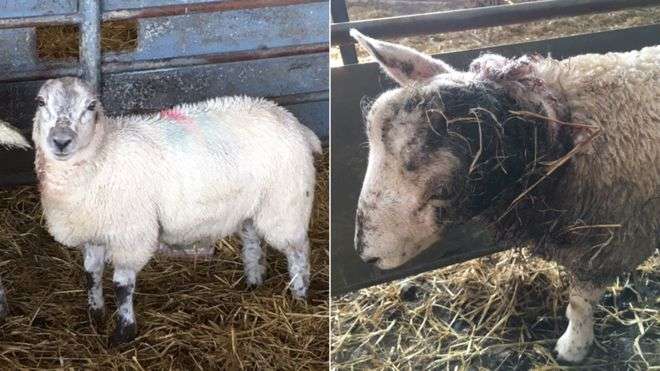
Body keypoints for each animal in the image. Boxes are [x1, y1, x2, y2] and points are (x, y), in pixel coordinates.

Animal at [32, 76, 320, 346]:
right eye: (41, 102)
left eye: (91, 105)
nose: (61, 141)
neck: (104, 155)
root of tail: (291, 120)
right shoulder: (94, 231)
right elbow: (91, 274)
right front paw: (95, 314)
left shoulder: (131, 236)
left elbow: (122, 286)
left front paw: (123, 333)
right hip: (252, 206)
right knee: (252, 242)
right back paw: (253, 282)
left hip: (286, 204)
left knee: (298, 251)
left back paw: (299, 297)